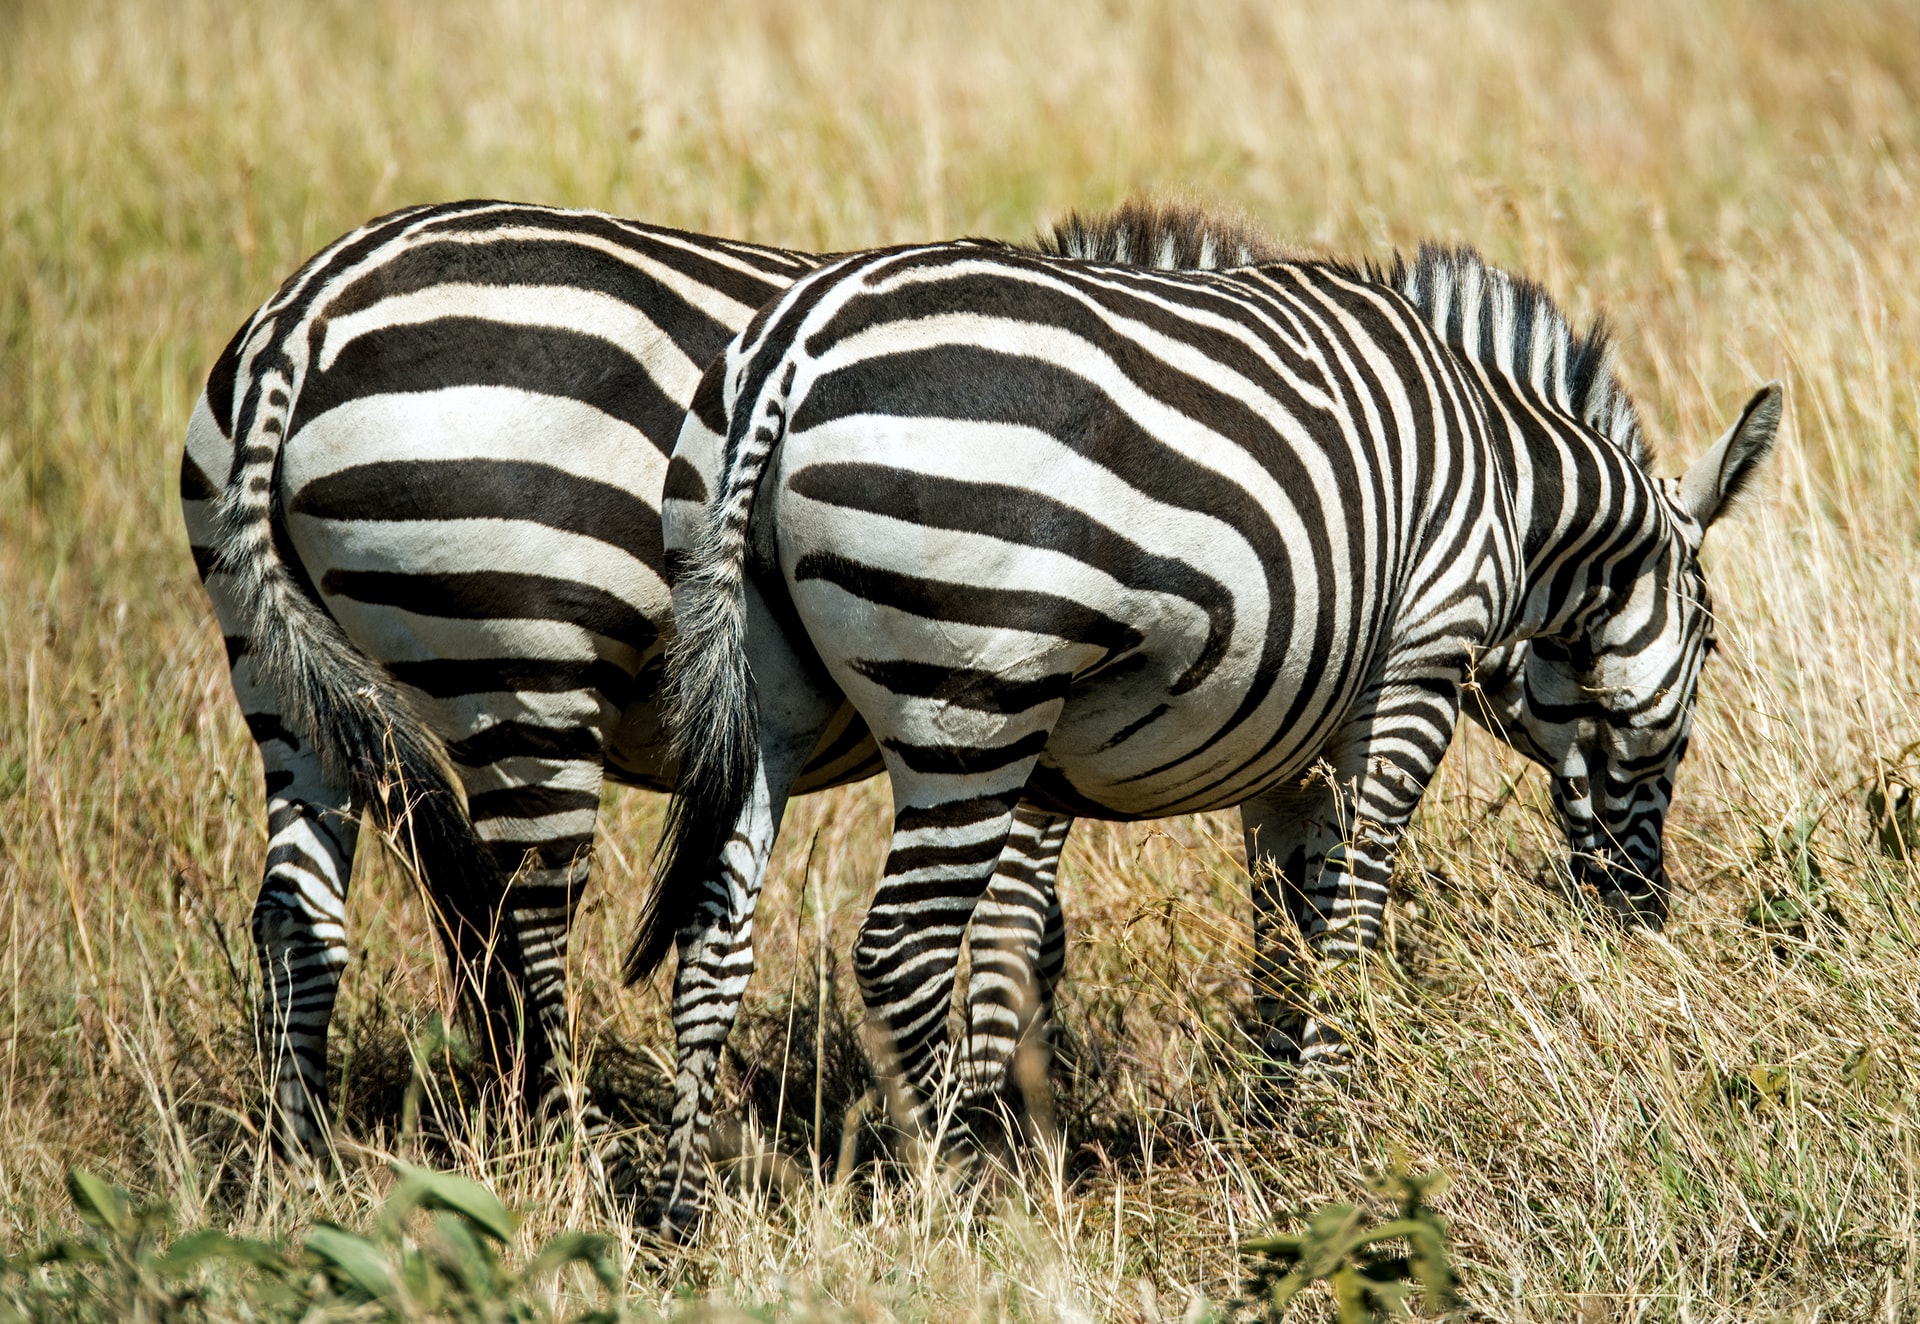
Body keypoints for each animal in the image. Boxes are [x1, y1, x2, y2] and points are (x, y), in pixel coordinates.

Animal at [181, 198, 1305, 1164]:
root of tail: (305, 313)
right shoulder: (1012, 692)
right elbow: (1021, 929)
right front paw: (1002, 1120)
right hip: (519, 658)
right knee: (526, 916)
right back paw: (571, 1142)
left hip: (280, 674)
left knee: (295, 918)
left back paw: (306, 1159)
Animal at [627, 227, 1780, 1231]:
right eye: (1714, 644)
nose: (1643, 913)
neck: (1509, 488)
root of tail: (790, 350)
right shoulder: (1413, 668)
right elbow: (1355, 906)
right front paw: (1339, 1109)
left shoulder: (1290, 736)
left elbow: (1288, 921)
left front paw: (1279, 1115)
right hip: (977, 697)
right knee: (902, 945)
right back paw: (964, 1193)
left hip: (765, 694)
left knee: (716, 931)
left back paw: (686, 1210)